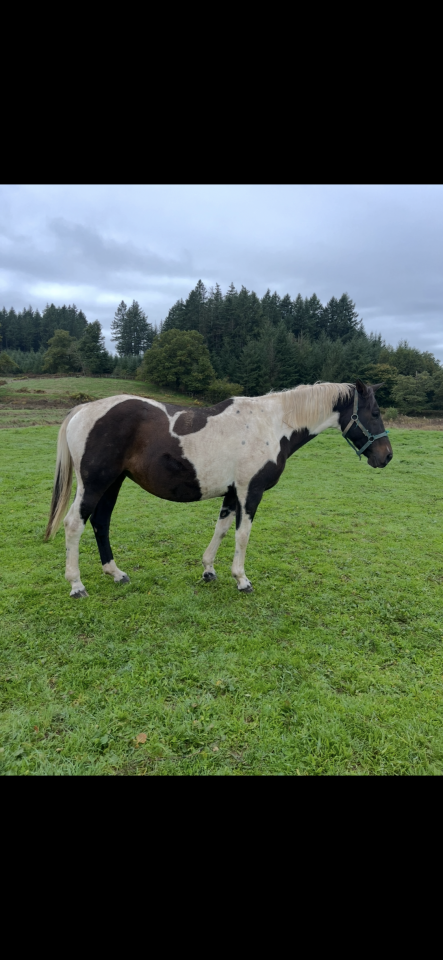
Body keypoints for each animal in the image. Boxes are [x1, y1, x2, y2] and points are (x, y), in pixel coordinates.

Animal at [45, 379, 392, 598]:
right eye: (375, 412)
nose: (386, 456)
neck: (272, 424)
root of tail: (83, 410)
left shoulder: (232, 493)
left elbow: (222, 530)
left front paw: (209, 570)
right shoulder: (251, 491)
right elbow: (242, 535)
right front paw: (241, 579)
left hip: (113, 482)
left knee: (100, 523)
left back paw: (116, 573)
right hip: (95, 483)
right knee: (74, 524)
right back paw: (76, 585)